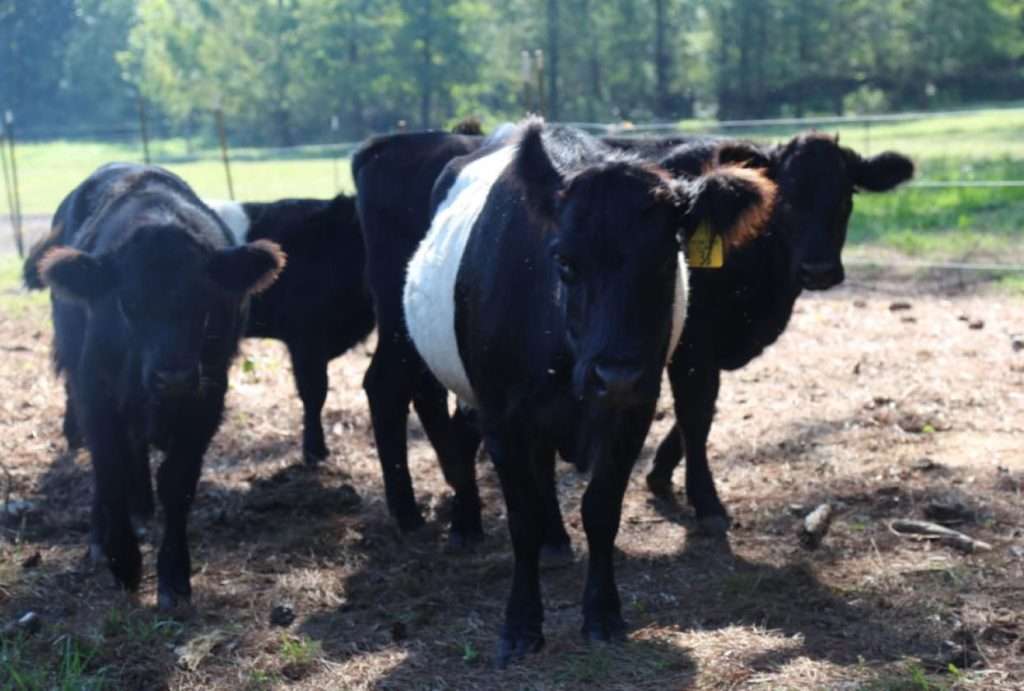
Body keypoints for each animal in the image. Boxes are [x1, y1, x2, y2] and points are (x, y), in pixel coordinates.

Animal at [32, 163, 285, 608]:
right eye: (127, 302)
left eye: (205, 301)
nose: (174, 377)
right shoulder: (95, 390)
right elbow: (109, 467)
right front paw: (123, 559)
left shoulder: (207, 396)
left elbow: (177, 481)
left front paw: (173, 576)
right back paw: (104, 532)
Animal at [402, 120, 775, 664]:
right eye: (565, 262)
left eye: (668, 259)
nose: (615, 374)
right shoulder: (502, 417)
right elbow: (521, 518)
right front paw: (521, 624)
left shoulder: (634, 409)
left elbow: (601, 508)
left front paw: (602, 613)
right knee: (466, 439)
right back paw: (468, 525)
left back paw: (557, 541)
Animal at [643, 134, 915, 532]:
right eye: (784, 197)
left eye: (846, 196)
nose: (818, 270)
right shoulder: (692, 340)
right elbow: (695, 412)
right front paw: (707, 501)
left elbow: (697, 410)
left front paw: (660, 472)